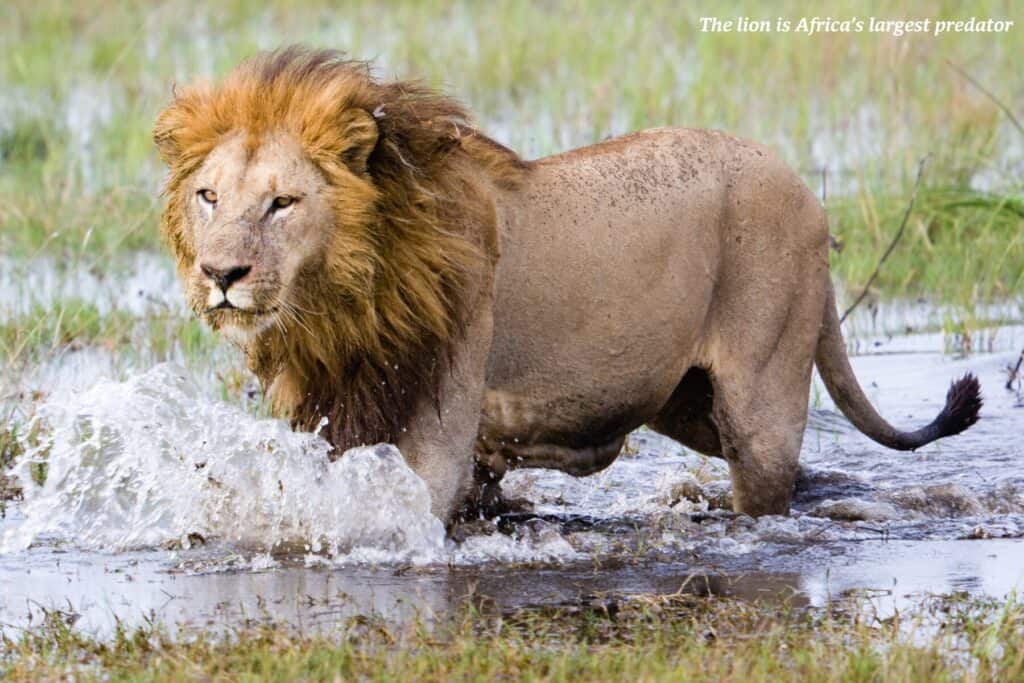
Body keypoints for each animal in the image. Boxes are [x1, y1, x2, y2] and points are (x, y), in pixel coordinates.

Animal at [155, 48, 978, 528]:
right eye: (209, 197)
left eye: (282, 203)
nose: (220, 275)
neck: (342, 303)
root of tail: (805, 191)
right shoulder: (338, 412)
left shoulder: (437, 426)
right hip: (688, 401)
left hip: (761, 396)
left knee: (770, 477)